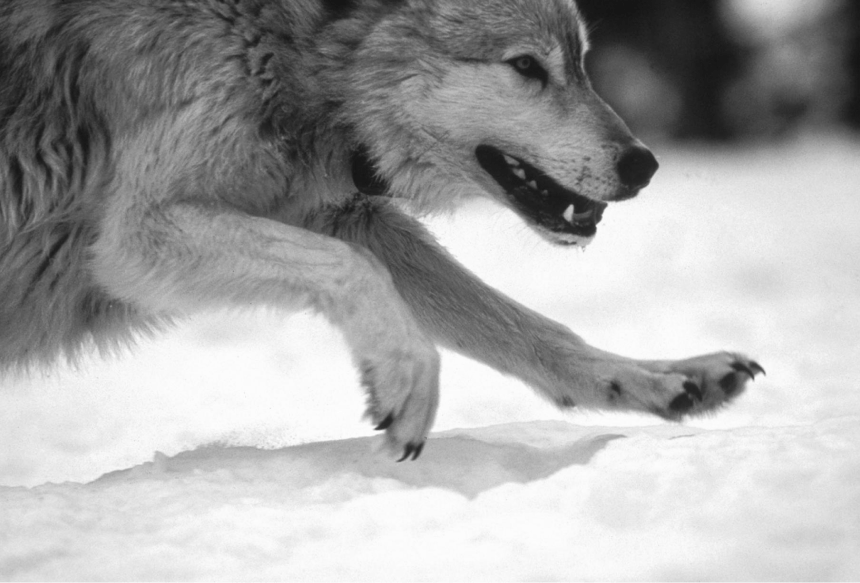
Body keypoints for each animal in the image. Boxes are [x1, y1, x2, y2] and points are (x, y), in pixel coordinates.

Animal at [0, 0, 764, 460]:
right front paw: (405, 381)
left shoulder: (340, 212)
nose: (644, 164)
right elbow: (352, 270)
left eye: (580, 63)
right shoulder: (137, 237)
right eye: (526, 66)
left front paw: (661, 379)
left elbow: (533, 328)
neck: (293, 42)